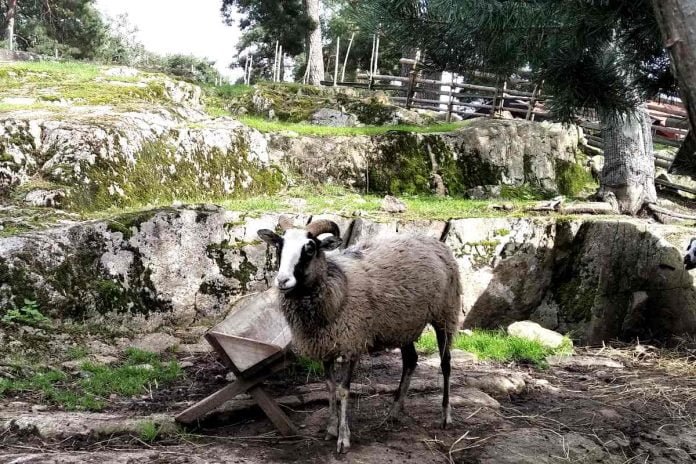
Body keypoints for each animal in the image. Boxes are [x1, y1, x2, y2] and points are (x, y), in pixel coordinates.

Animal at [256, 218, 462, 454]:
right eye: (279, 246)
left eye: (309, 248)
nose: (282, 281)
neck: (338, 284)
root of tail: (436, 242)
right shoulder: (326, 345)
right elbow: (330, 387)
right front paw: (331, 428)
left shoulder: (351, 343)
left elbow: (343, 391)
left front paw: (343, 439)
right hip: (404, 324)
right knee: (410, 360)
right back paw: (393, 413)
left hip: (445, 313)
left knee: (445, 364)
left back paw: (446, 416)